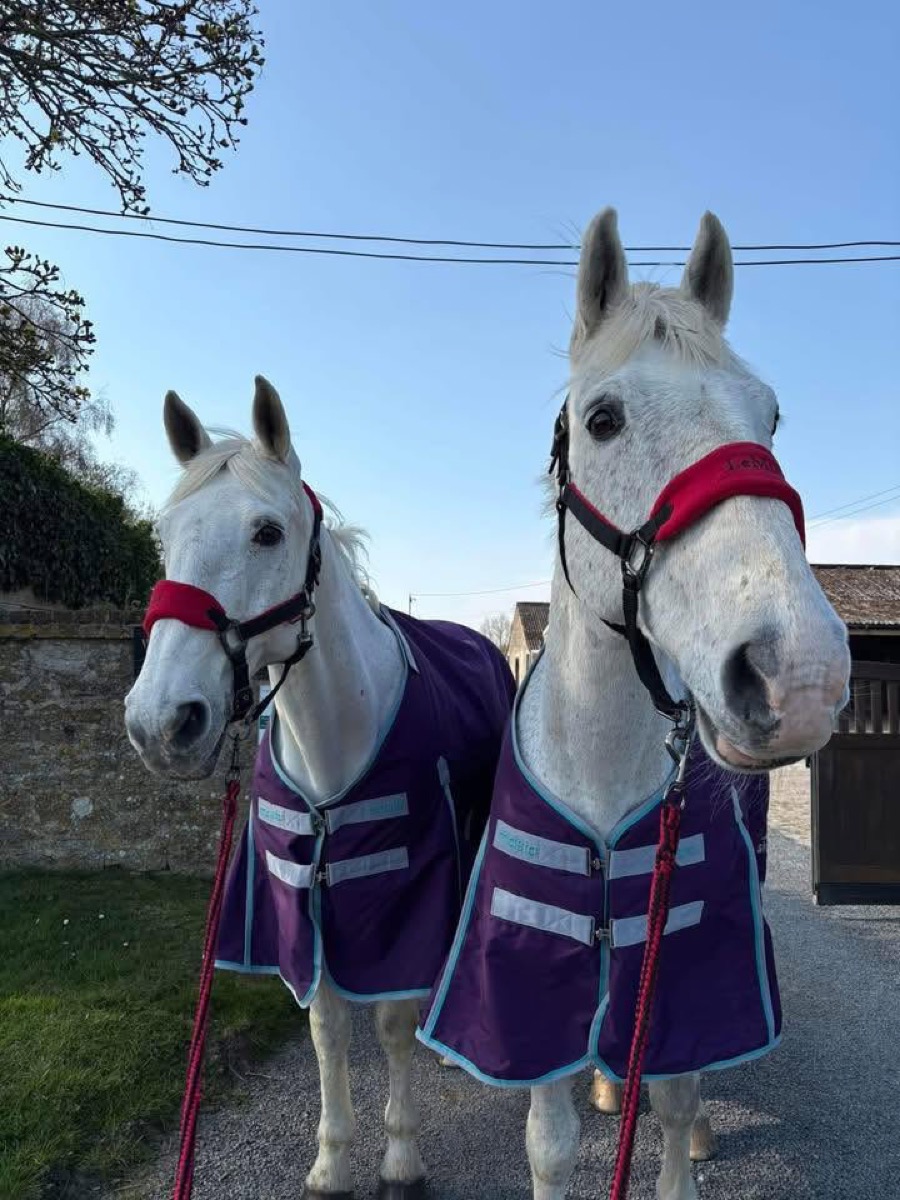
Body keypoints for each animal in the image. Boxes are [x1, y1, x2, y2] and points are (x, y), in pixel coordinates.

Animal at [124, 377, 515, 1199]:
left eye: (267, 532)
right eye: (166, 533)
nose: (158, 722)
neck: (334, 738)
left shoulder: (402, 895)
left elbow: (392, 1023)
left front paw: (400, 1158)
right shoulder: (304, 898)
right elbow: (326, 1027)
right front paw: (333, 1160)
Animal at [416, 207, 851, 1200]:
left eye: (771, 414)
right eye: (603, 419)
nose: (799, 676)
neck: (607, 768)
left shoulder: (685, 960)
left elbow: (682, 1094)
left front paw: (682, 1134)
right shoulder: (528, 988)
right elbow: (550, 1141)